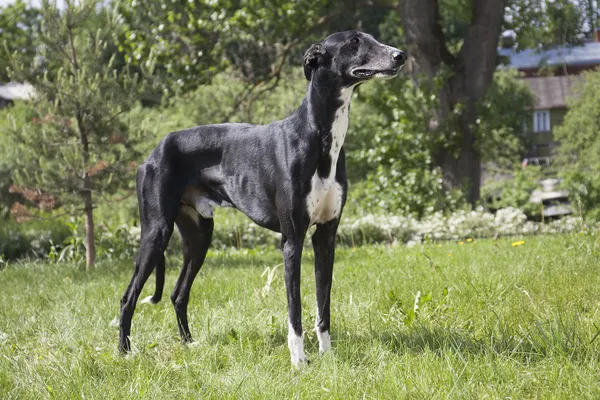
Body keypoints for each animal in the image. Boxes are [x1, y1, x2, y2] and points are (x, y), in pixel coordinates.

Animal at [119, 30, 406, 368]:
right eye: (354, 42)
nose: (400, 56)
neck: (319, 137)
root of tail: (153, 152)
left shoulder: (325, 238)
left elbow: (323, 304)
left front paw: (328, 356)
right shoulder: (292, 241)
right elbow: (295, 310)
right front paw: (299, 362)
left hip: (199, 236)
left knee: (179, 293)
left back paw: (189, 344)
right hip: (156, 232)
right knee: (128, 297)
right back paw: (124, 352)